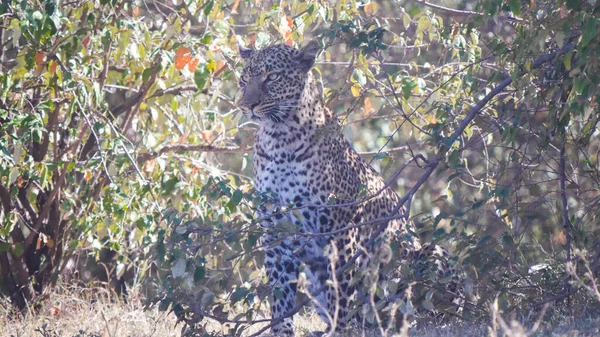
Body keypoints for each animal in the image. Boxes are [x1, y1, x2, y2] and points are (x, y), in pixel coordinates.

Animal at [237, 40, 462, 334]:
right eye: (244, 79)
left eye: (272, 77)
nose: (247, 105)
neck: (279, 139)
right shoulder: (276, 233)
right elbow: (280, 296)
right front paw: (282, 331)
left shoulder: (341, 229)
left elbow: (340, 291)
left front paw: (338, 330)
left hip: (432, 255)